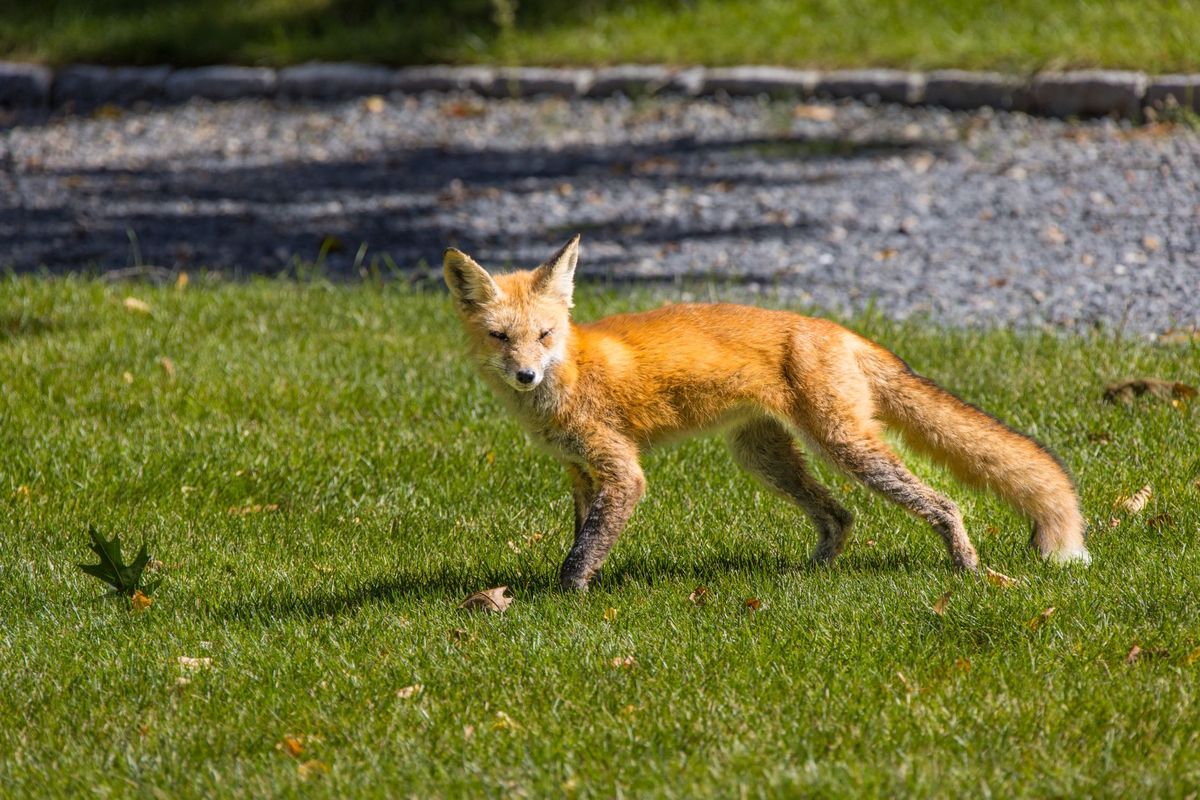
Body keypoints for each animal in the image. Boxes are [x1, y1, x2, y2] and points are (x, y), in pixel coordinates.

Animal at [444, 235, 1089, 591]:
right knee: (841, 516)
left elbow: (584, 549)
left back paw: (967, 569)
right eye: (502, 338)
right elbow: (585, 534)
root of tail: (840, 329)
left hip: (843, 446)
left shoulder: (621, 470)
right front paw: (579, 587)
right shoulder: (581, 471)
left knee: (942, 502)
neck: (570, 372)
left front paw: (566, 599)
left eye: (544, 335)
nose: (526, 375)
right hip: (763, 456)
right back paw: (808, 576)